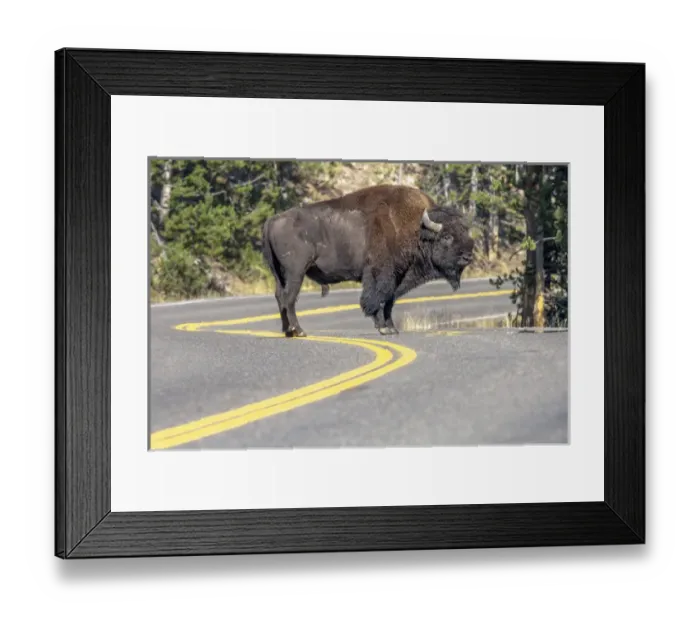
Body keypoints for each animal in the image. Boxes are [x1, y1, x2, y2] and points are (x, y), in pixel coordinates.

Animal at [261, 185, 475, 337]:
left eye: (465, 231)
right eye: (447, 236)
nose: (468, 255)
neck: (417, 229)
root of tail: (272, 220)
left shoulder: (398, 275)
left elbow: (389, 301)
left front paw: (392, 328)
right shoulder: (380, 274)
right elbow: (377, 298)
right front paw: (383, 328)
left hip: (281, 274)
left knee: (280, 296)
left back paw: (287, 331)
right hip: (296, 273)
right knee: (289, 298)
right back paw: (300, 331)